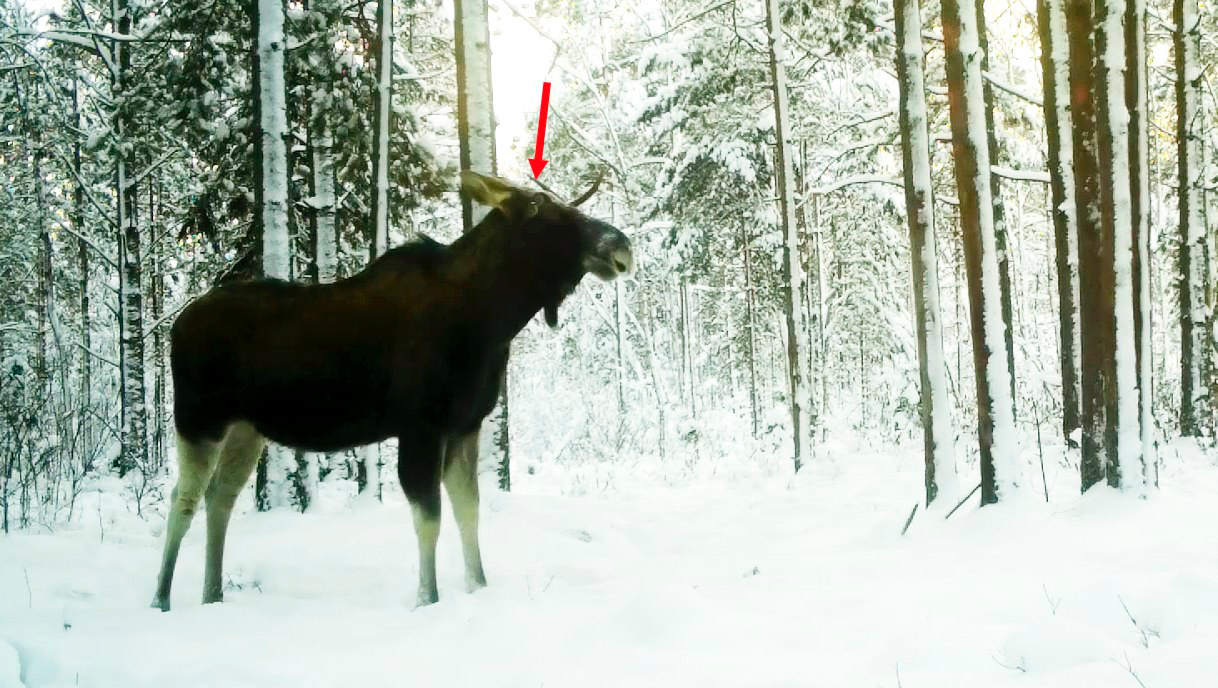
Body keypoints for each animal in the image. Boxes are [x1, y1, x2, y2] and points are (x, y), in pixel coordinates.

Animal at [151, 171, 633, 610]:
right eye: (537, 207)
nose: (621, 247)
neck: (491, 322)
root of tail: (175, 326)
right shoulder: (421, 427)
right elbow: (429, 519)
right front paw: (427, 600)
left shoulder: (465, 425)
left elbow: (469, 510)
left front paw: (478, 586)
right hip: (198, 419)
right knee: (183, 499)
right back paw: (162, 599)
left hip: (246, 428)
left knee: (220, 498)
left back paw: (212, 595)